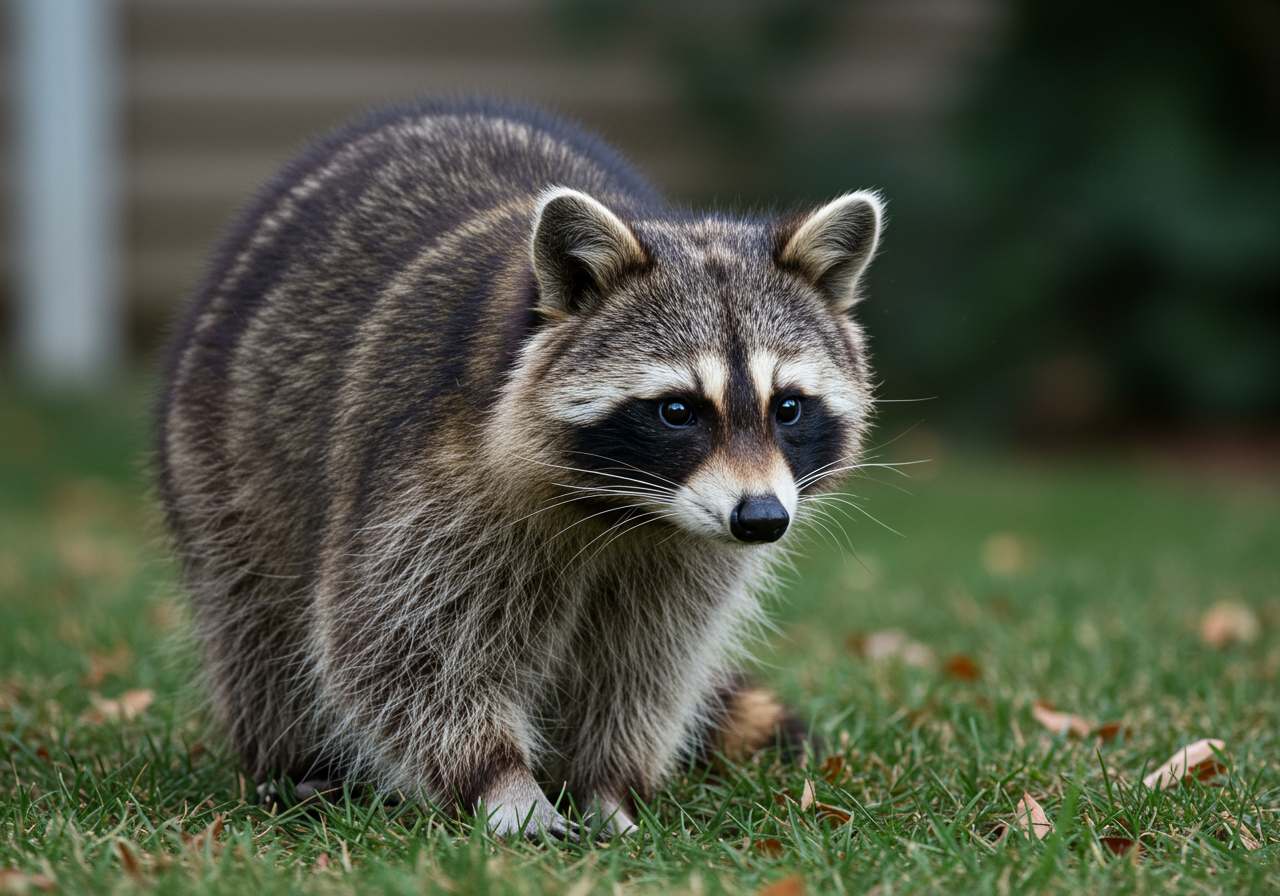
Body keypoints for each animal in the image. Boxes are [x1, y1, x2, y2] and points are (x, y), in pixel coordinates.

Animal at [158, 97, 883, 839]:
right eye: (678, 411)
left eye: (788, 408)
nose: (761, 519)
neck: (623, 512)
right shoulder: (428, 479)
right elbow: (401, 645)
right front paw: (502, 784)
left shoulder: (686, 553)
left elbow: (644, 664)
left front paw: (606, 787)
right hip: (221, 464)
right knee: (256, 623)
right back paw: (295, 761)